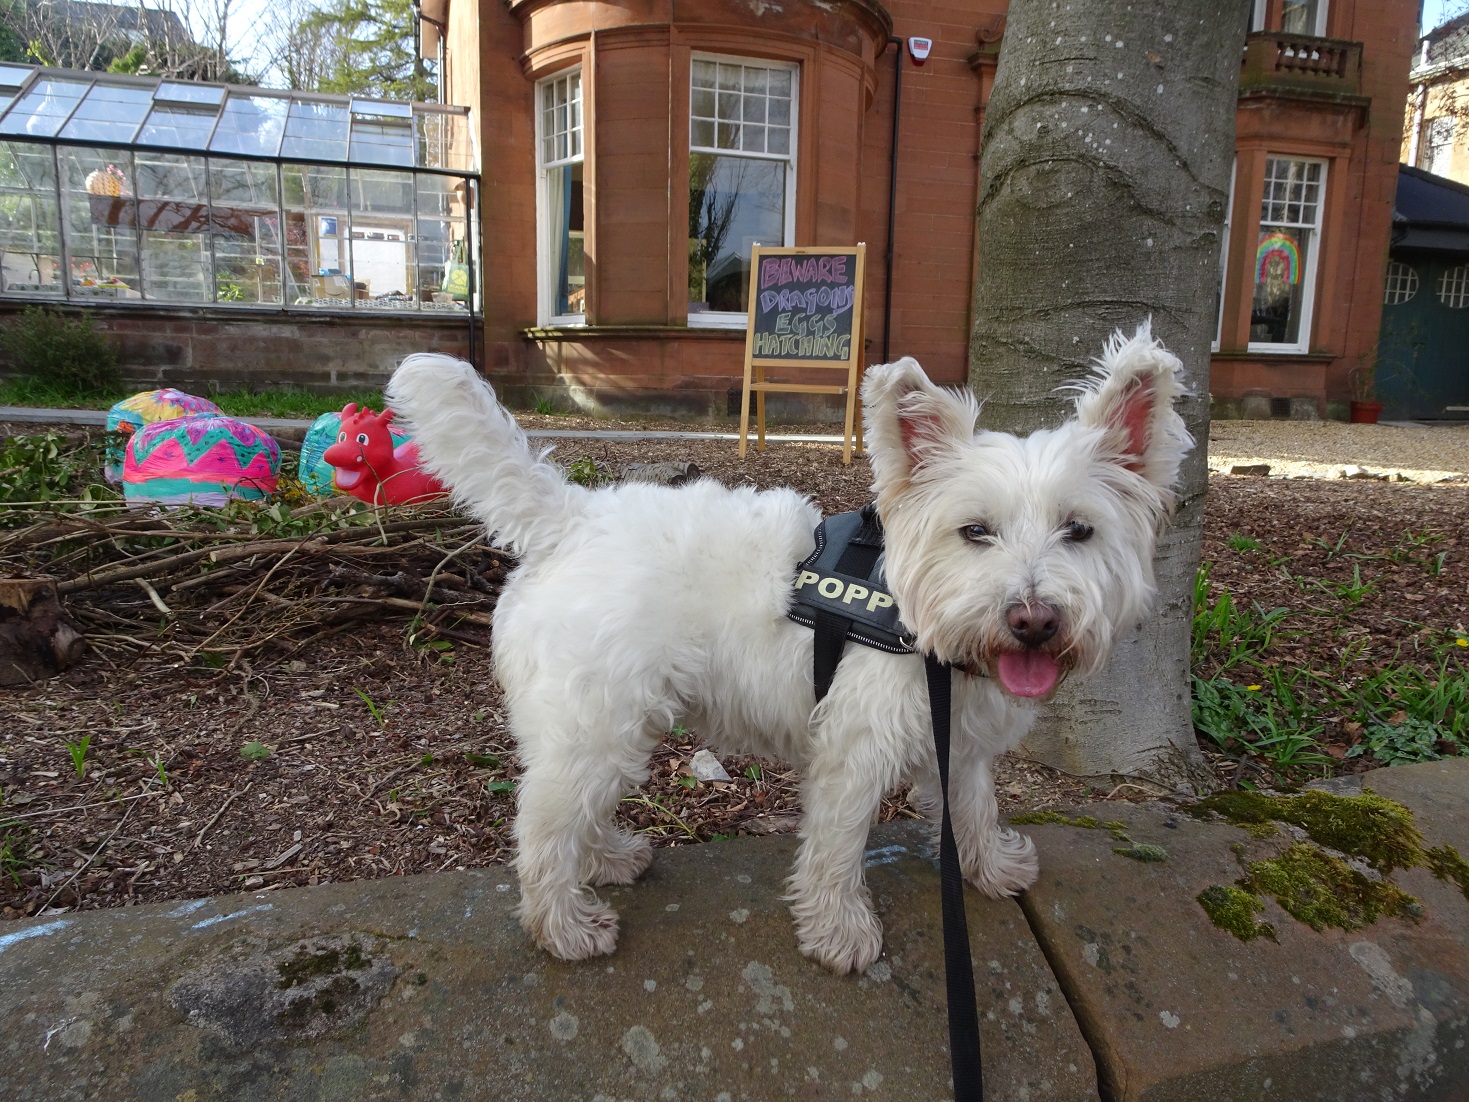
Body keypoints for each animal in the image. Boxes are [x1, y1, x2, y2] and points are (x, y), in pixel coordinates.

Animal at [390, 327, 1192, 975]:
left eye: (1079, 529)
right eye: (975, 531)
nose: (1032, 620)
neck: (919, 618)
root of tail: (572, 516)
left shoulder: (957, 743)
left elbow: (972, 808)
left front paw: (989, 867)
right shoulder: (853, 752)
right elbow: (836, 850)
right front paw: (840, 935)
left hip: (610, 730)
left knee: (572, 815)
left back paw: (612, 858)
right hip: (596, 728)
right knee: (542, 829)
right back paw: (564, 927)